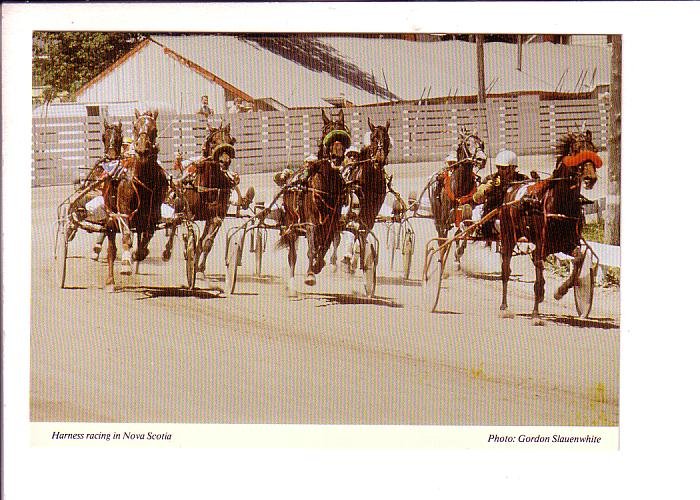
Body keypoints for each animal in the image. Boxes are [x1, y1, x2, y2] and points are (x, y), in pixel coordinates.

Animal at [100, 109, 169, 290]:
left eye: (154, 129)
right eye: (136, 127)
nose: (142, 149)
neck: (143, 180)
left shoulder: (153, 215)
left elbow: (145, 241)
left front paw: (139, 254)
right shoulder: (123, 210)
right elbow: (125, 236)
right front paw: (125, 264)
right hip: (110, 218)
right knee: (111, 248)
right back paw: (110, 280)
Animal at [161, 123, 247, 276]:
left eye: (230, 141)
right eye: (213, 141)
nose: (225, 161)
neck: (209, 186)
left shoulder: (217, 216)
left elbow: (207, 242)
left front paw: (199, 266)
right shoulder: (189, 213)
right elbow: (186, 231)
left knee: (201, 238)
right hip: (179, 204)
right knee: (175, 223)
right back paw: (168, 251)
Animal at [278, 110, 346, 292]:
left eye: (344, 132)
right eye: (327, 131)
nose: (337, 156)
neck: (326, 187)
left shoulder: (331, 224)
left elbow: (325, 246)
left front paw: (318, 264)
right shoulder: (311, 223)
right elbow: (311, 248)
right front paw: (310, 275)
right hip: (291, 224)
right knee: (292, 255)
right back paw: (292, 285)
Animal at [426, 129, 486, 270]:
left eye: (481, 143)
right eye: (468, 144)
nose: (482, 159)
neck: (459, 186)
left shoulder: (464, 216)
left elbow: (463, 232)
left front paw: (458, 255)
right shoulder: (444, 220)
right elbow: (443, 239)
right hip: (438, 218)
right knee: (441, 237)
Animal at [498, 130, 600, 324]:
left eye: (593, 150)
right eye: (576, 151)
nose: (590, 178)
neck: (560, 205)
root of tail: (510, 188)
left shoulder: (569, 243)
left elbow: (577, 261)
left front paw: (560, 291)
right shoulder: (541, 247)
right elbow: (537, 278)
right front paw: (536, 314)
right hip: (507, 237)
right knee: (506, 271)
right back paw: (504, 307)